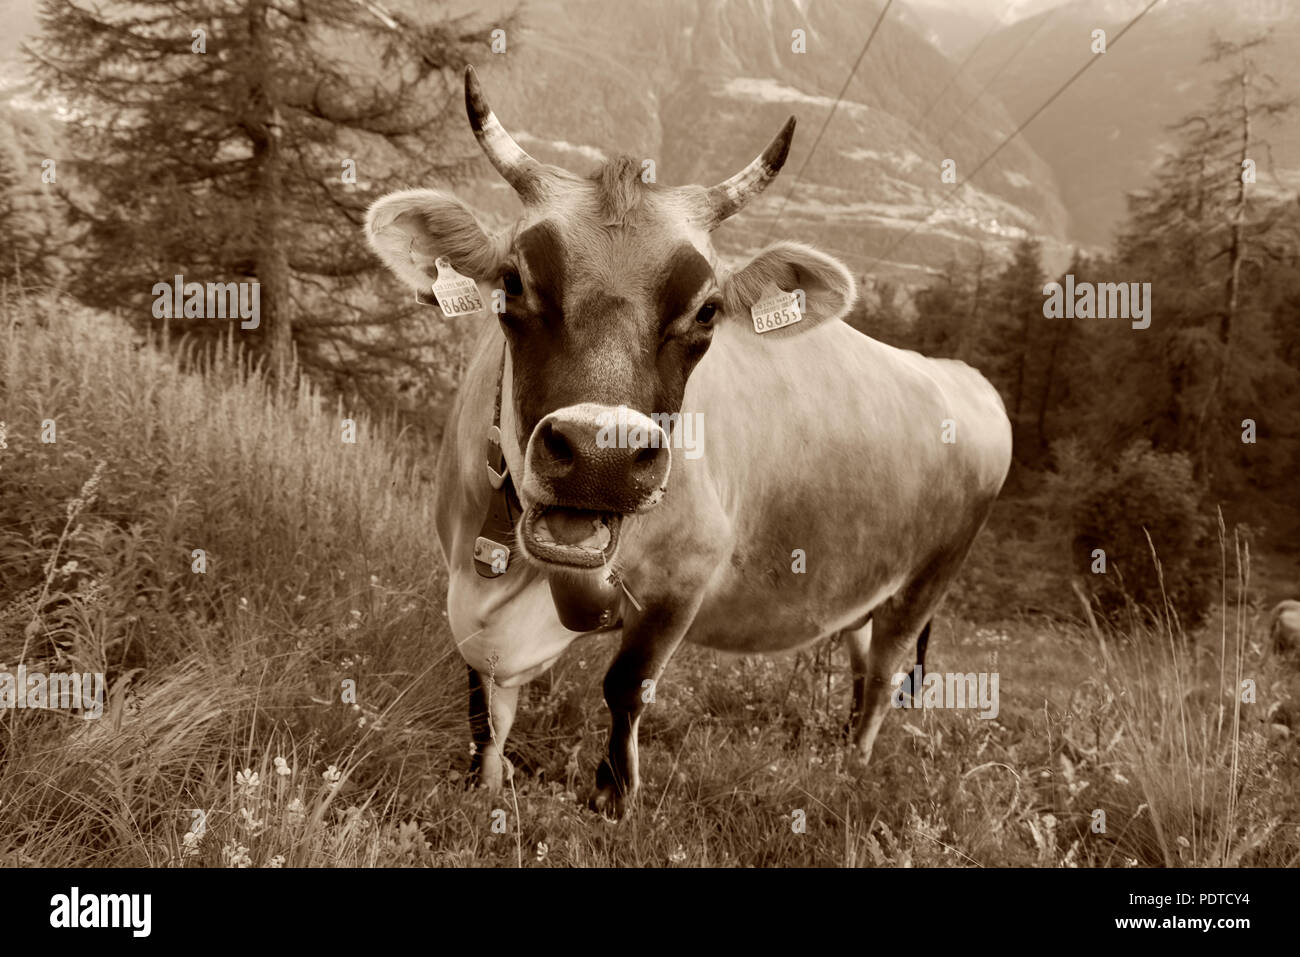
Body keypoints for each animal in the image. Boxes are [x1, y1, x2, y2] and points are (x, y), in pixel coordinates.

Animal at [366, 67, 1013, 816]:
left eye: (707, 311)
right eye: (512, 280)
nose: (601, 455)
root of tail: (965, 376)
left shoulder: (685, 578)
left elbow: (625, 687)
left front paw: (614, 799)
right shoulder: (466, 580)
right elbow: (483, 701)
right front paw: (484, 786)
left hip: (928, 581)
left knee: (882, 674)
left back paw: (850, 768)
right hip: (870, 585)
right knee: (860, 663)